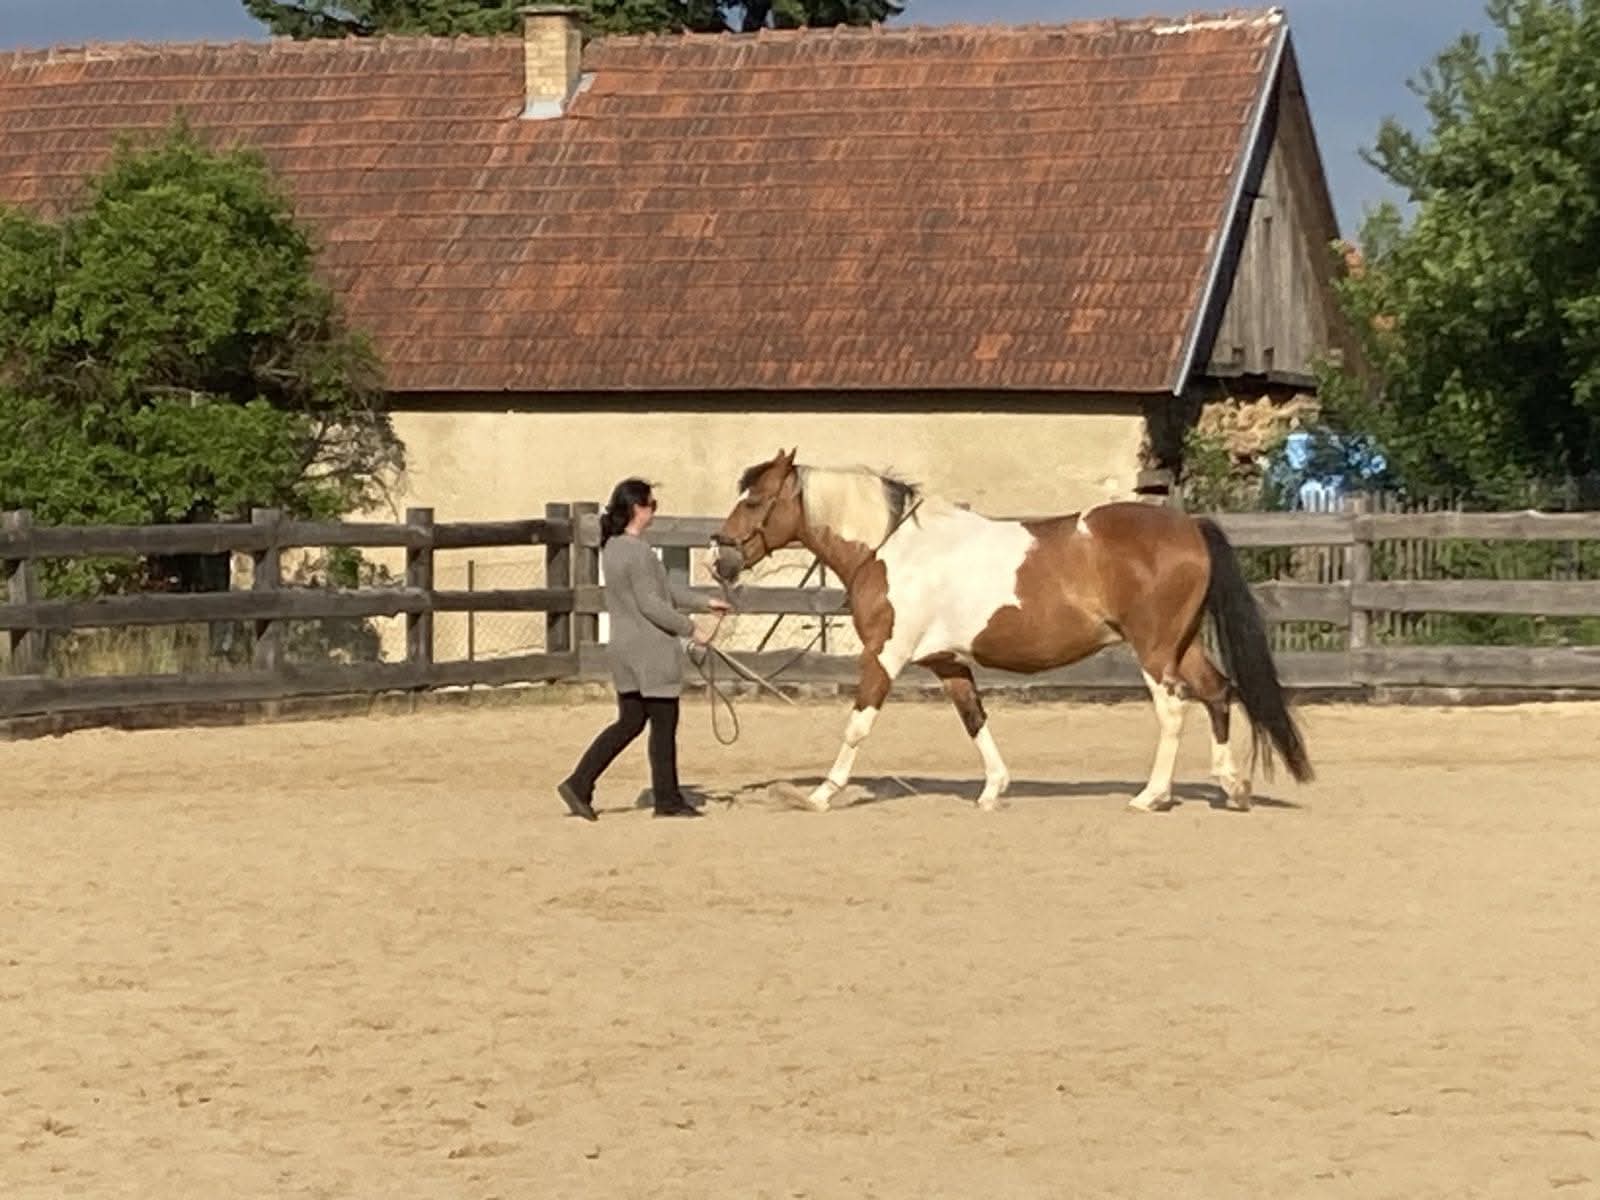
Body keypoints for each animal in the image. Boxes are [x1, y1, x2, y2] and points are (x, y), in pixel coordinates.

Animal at [708, 449, 1313, 814]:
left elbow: (857, 725)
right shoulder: (947, 661)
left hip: (1154, 649)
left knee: (1174, 709)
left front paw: (820, 794)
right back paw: (1232, 786)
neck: (891, 547)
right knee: (1217, 692)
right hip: (1180, 645)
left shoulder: (885, 654)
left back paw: (1152, 795)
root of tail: (1189, 526)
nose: (720, 559)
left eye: (755, 500)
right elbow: (974, 718)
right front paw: (994, 789)